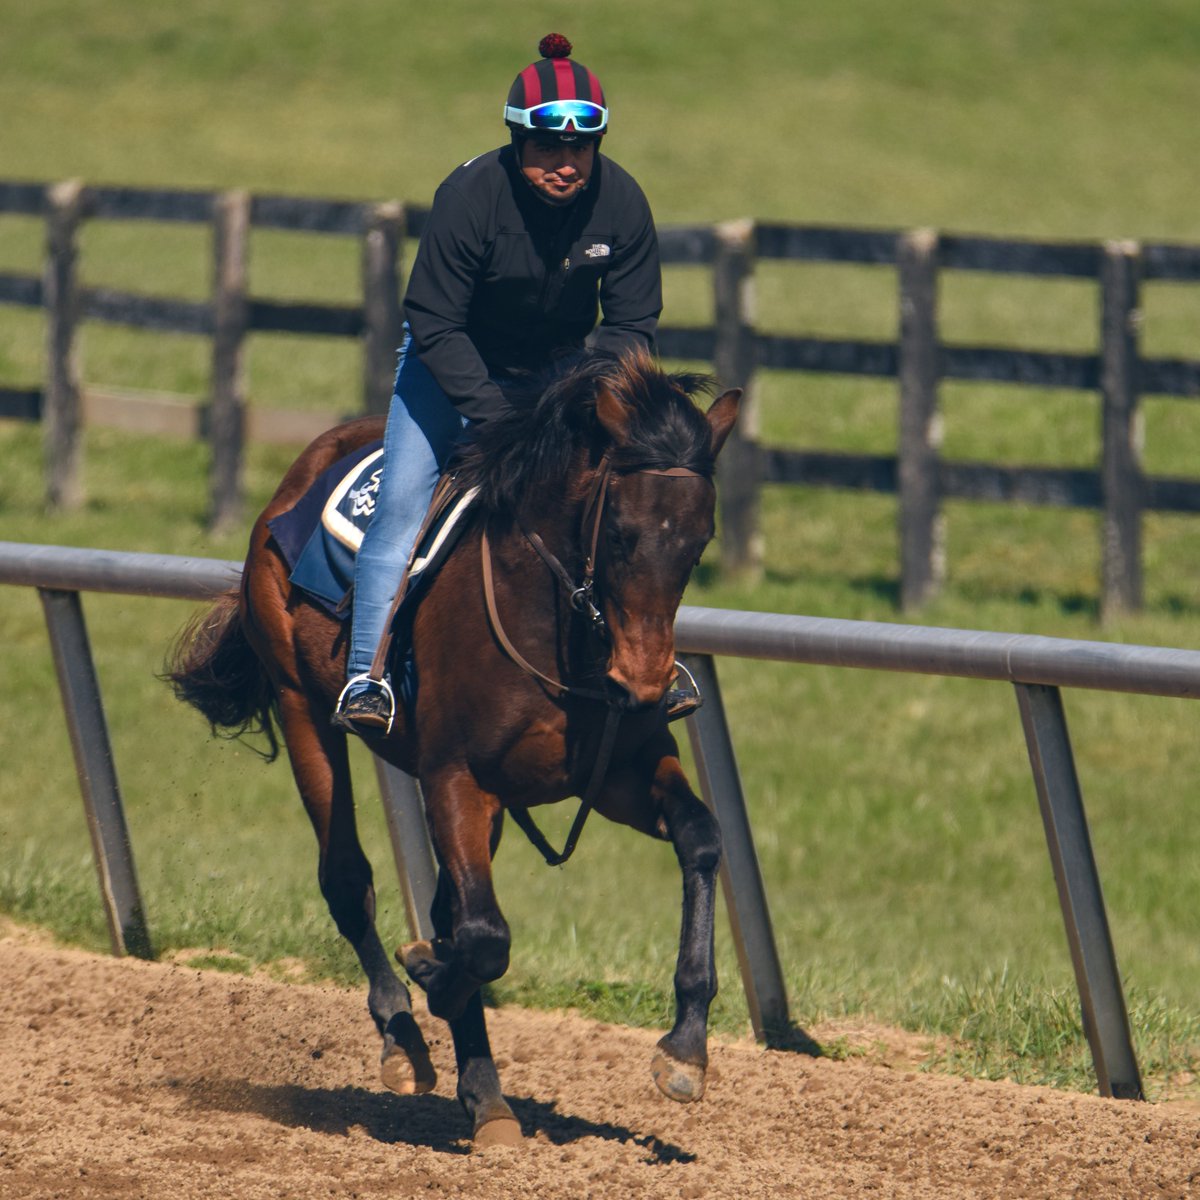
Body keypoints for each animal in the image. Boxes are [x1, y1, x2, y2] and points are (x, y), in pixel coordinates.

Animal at [167, 348, 741, 1148]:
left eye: (698, 542)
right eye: (622, 533)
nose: (645, 681)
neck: (559, 634)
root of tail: (304, 467)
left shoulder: (616, 774)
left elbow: (701, 838)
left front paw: (685, 1046)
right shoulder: (455, 777)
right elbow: (482, 935)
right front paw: (427, 977)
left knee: (446, 906)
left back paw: (485, 1096)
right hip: (302, 705)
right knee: (348, 879)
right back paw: (405, 1037)